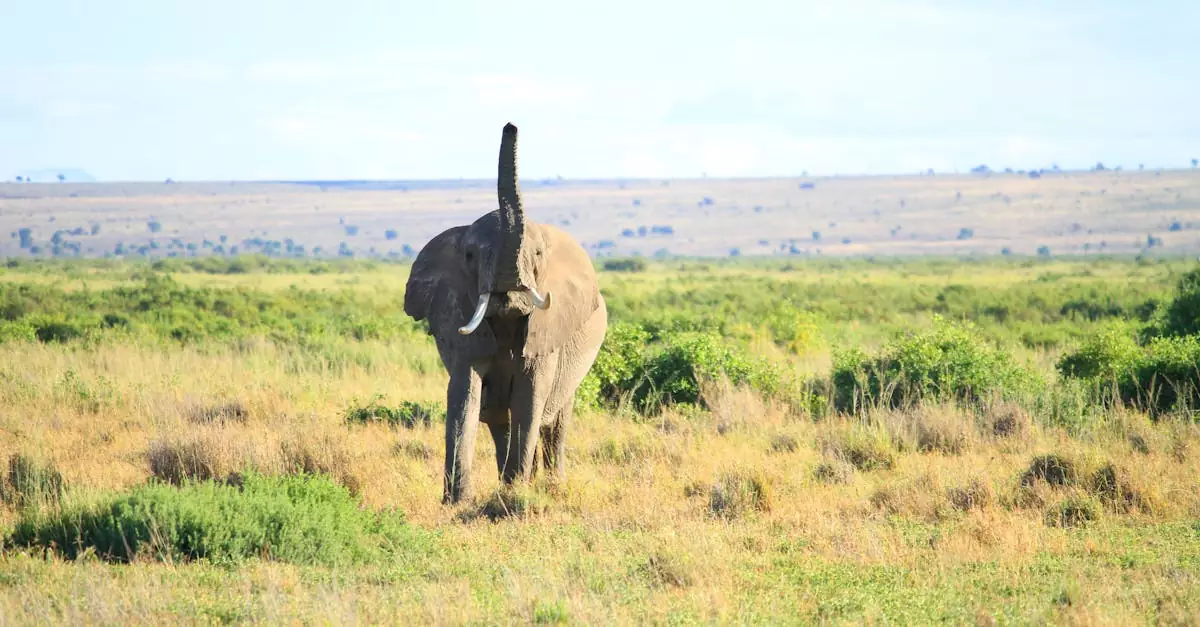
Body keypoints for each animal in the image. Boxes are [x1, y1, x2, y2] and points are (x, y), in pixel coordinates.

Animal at [403, 122, 608, 504]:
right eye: (470, 255)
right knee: (500, 420)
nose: (511, 126)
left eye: (538, 254)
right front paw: (458, 502)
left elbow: (530, 397)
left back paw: (549, 485)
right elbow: (464, 395)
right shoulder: (454, 311)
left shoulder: (547, 331)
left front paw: (517, 492)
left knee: (553, 421)